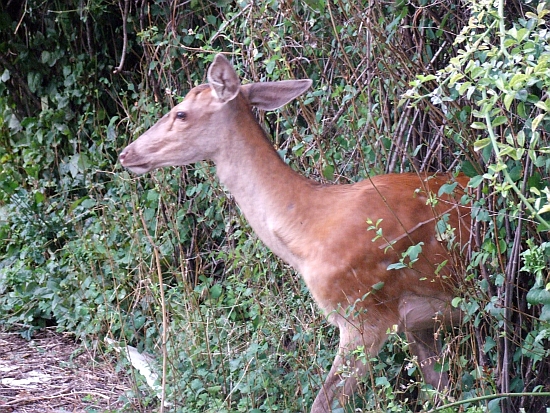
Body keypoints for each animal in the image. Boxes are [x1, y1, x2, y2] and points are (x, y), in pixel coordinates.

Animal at [121, 53, 474, 410]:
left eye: (180, 113)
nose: (126, 153)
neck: (309, 229)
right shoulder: (416, 323)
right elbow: (443, 391)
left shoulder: (365, 315)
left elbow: (323, 403)